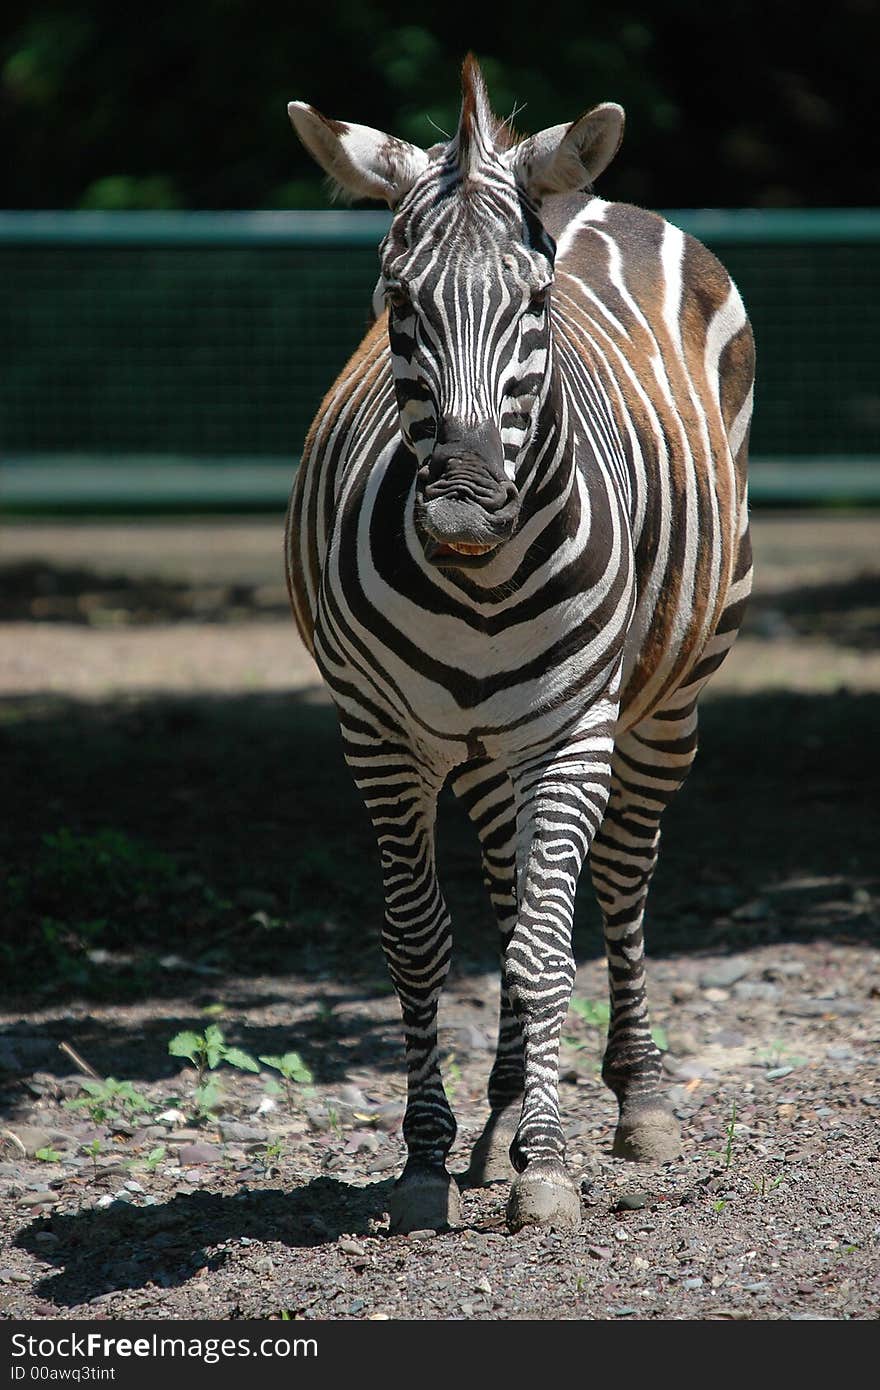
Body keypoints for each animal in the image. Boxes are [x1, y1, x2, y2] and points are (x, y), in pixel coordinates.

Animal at [284, 56, 750, 1239]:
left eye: (537, 303)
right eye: (396, 302)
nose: (461, 507)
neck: (477, 582)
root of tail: (577, 188)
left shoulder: (573, 733)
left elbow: (546, 948)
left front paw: (547, 1164)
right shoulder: (376, 737)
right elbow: (422, 941)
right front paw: (428, 1156)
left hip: (665, 703)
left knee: (620, 880)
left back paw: (636, 1099)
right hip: (489, 747)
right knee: (505, 891)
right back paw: (494, 1119)